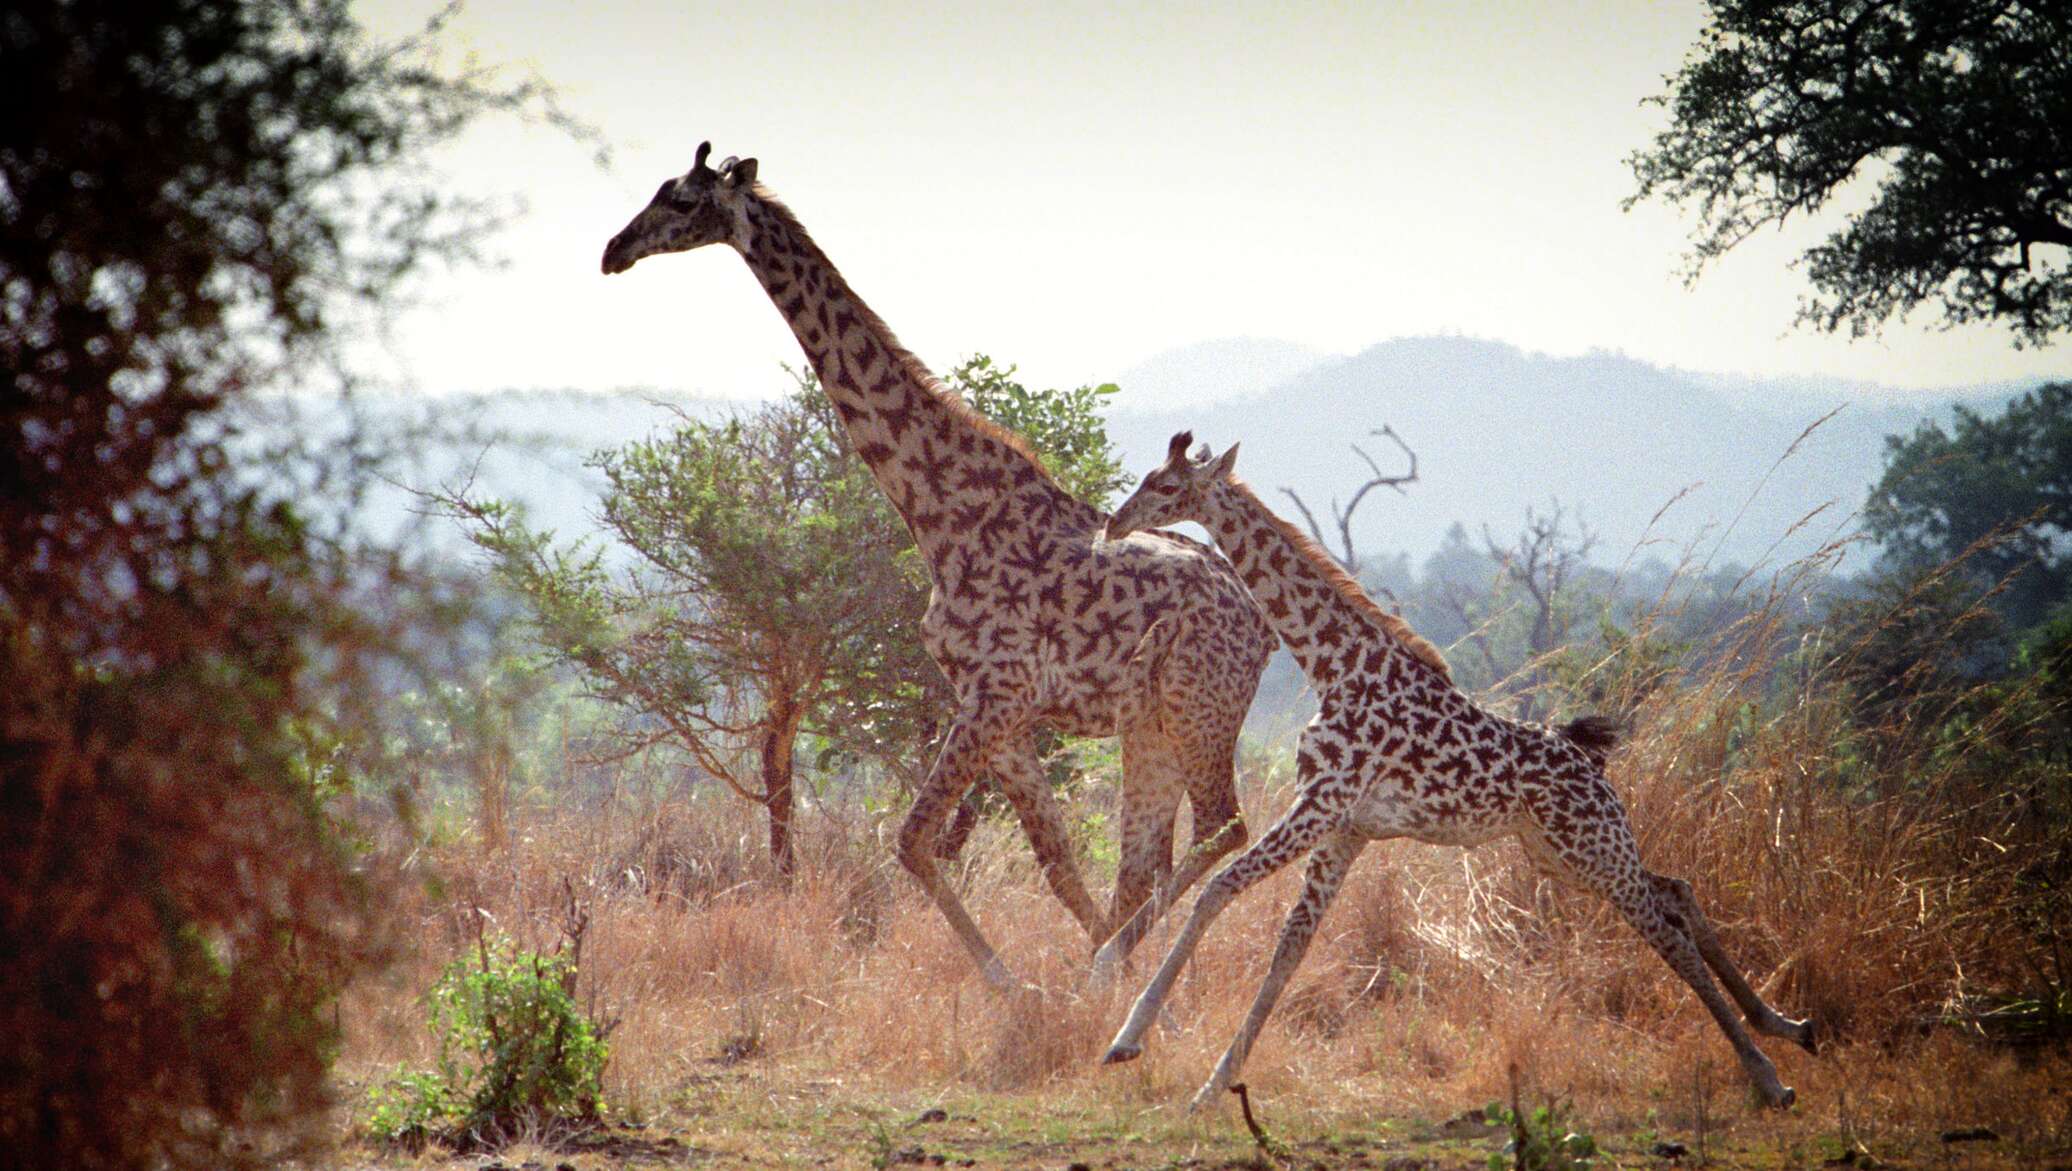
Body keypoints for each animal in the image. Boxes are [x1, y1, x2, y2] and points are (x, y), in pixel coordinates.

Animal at [600, 146, 1276, 986]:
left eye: (685, 201)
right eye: (659, 192)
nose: (614, 250)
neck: (936, 512)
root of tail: (1261, 623)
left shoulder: (996, 693)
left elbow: (914, 841)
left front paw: (1019, 987)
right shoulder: (999, 708)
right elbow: (1058, 863)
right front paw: (1074, 986)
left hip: (1199, 707)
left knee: (1225, 828)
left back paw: (1119, 965)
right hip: (1149, 720)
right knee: (1149, 859)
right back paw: (1127, 970)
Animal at [1094, 435, 1823, 1102]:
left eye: (1165, 486)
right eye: (1147, 479)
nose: (1115, 523)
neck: (1333, 667)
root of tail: (1590, 758)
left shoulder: (1322, 804)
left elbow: (1217, 890)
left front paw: (1126, 1035)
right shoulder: (1345, 826)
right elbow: (1290, 946)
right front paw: (1213, 1083)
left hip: (1589, 847)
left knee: (1665, 926)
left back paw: (1769, 1076)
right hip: (1559, 853)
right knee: (1676, 889)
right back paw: (1790, 1025)